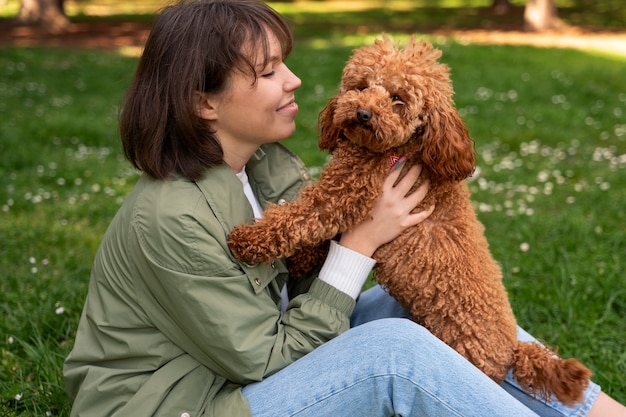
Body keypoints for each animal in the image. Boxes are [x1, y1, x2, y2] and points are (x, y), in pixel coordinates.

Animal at [227, 35, 588, 404]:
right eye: (361, 86)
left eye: (397, 99)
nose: (362, 113)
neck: (401, 150)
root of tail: (512, 350)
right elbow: (321, 235)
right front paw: (301, 260)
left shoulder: (343, 195)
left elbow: (299, 218)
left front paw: (248, 241)